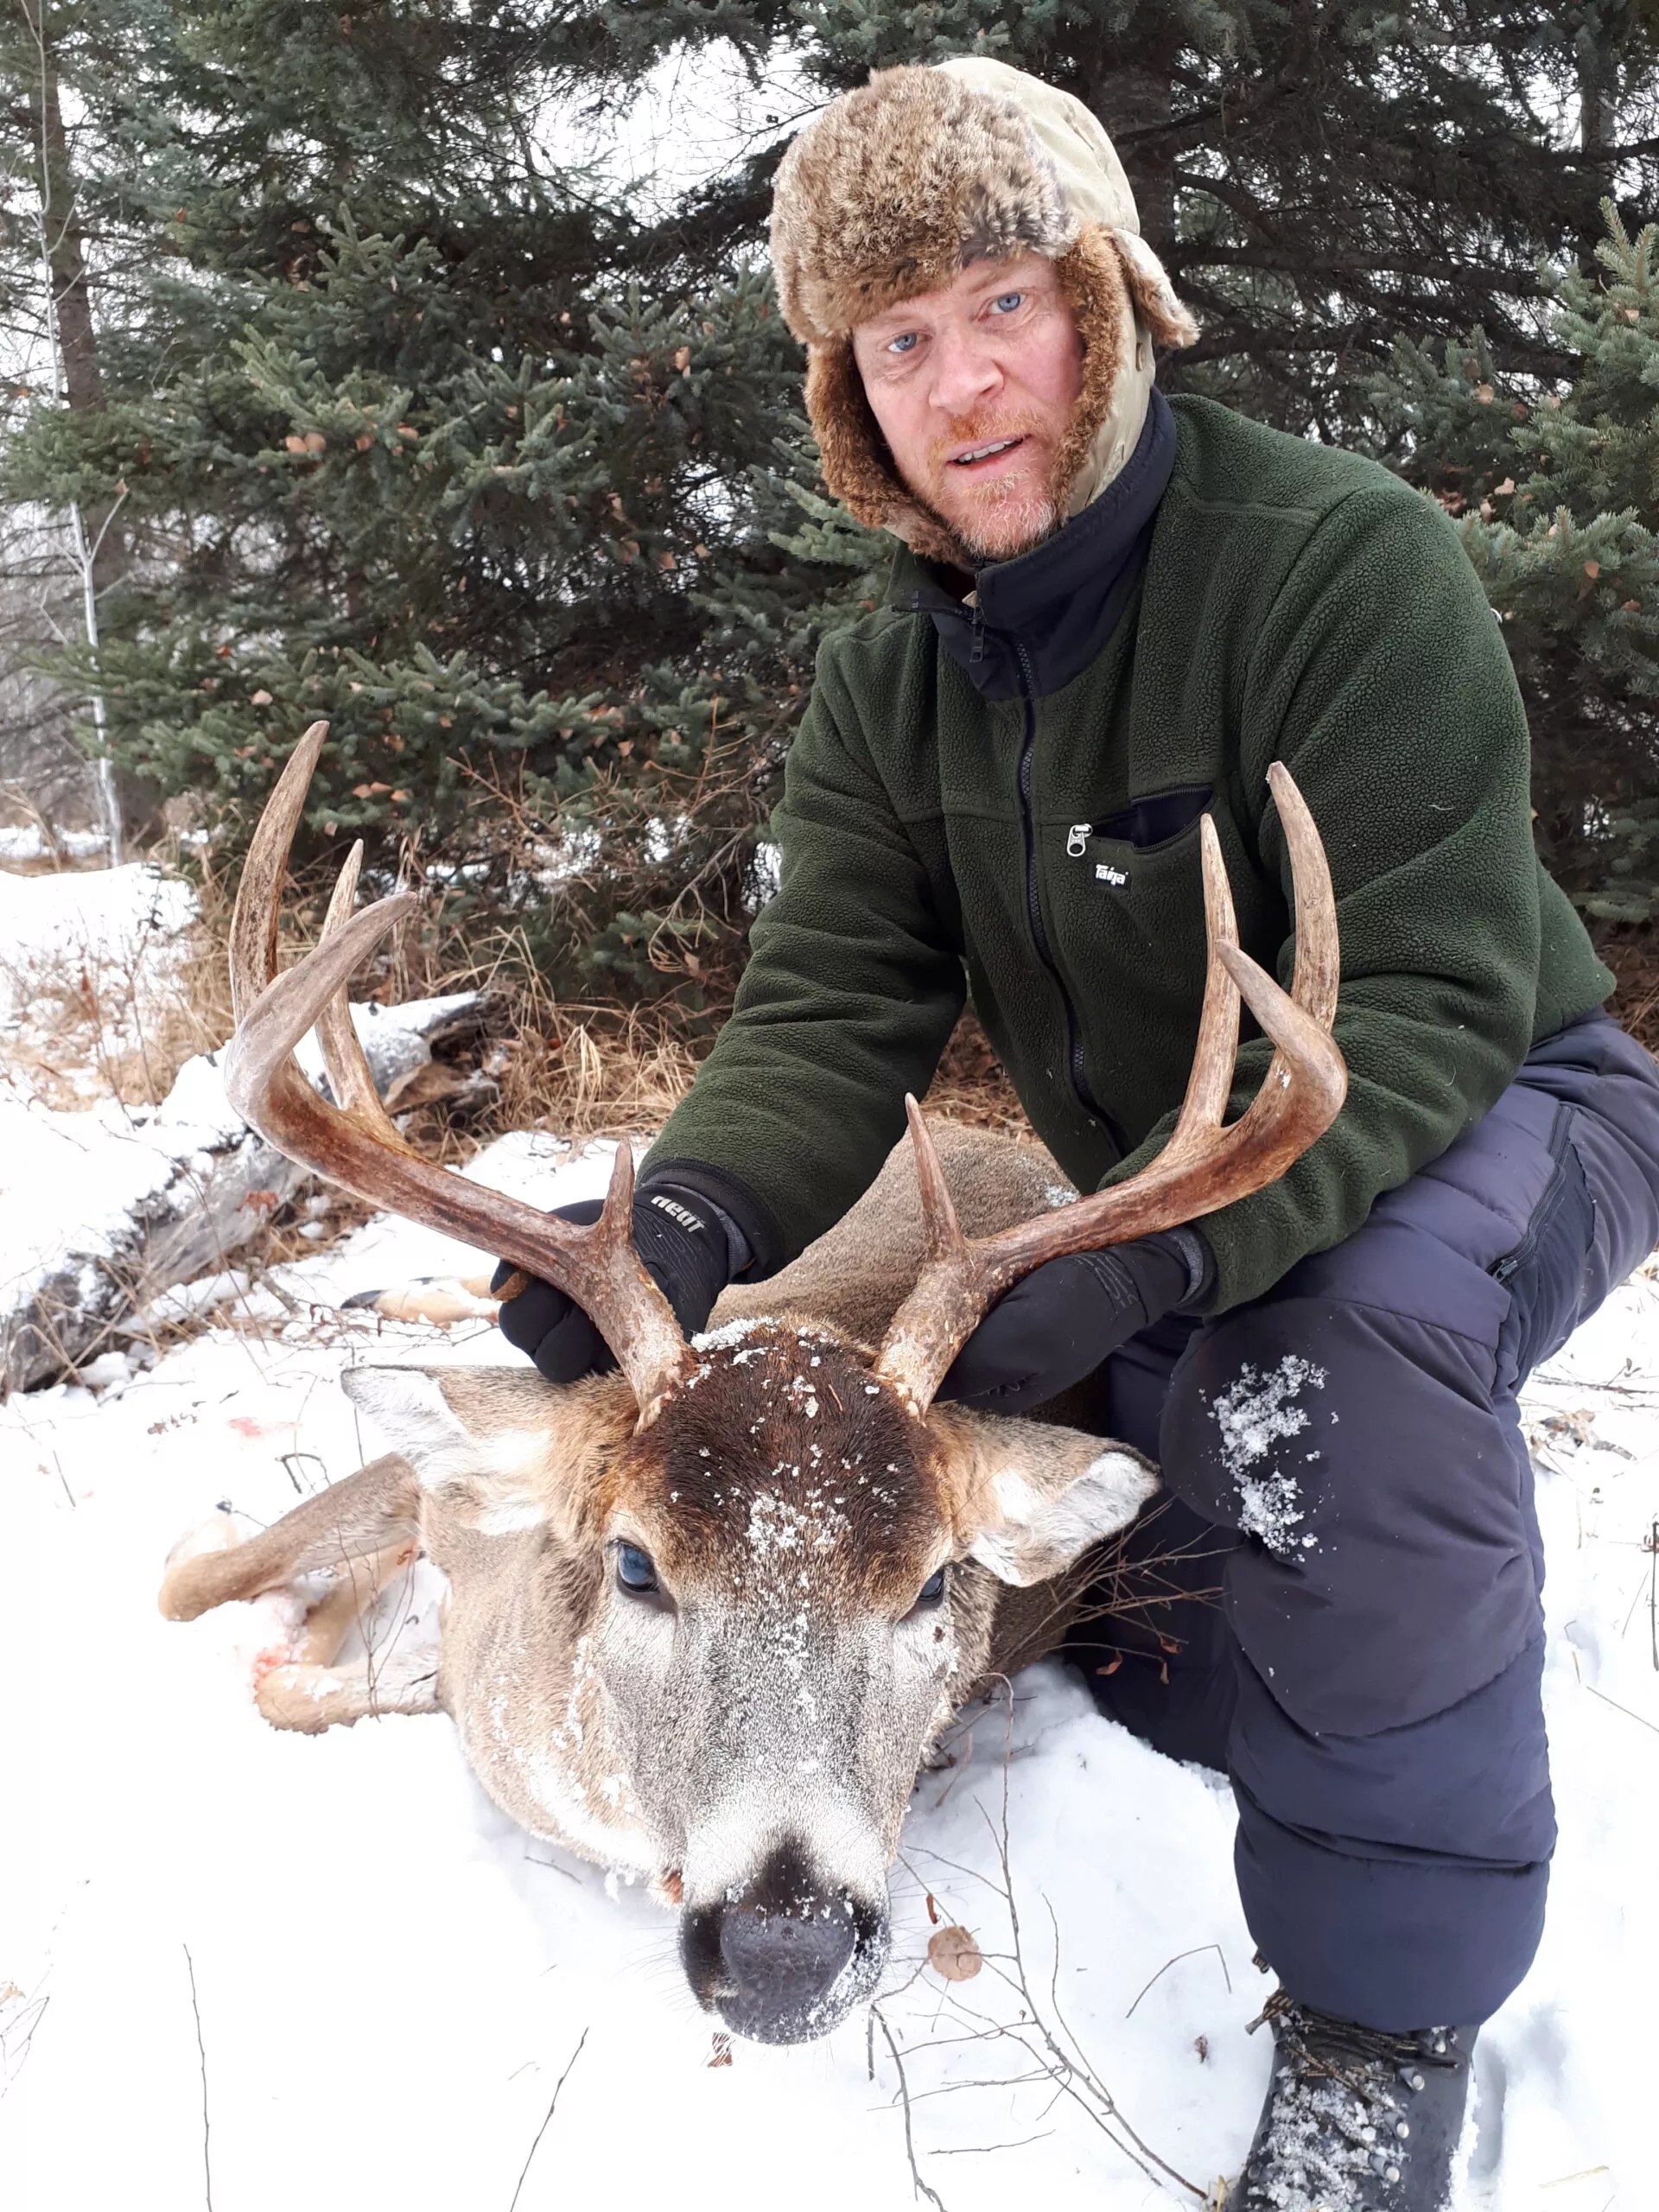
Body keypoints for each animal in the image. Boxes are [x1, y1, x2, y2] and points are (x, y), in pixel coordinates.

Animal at [159, 720, 1345, 2049]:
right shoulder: (458, 1482)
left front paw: (333, 1645)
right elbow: (199, 1584)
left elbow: (288, 1662)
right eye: (634, 1565)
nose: (785, 1949)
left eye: (936, 1583)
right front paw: (270, 1575)